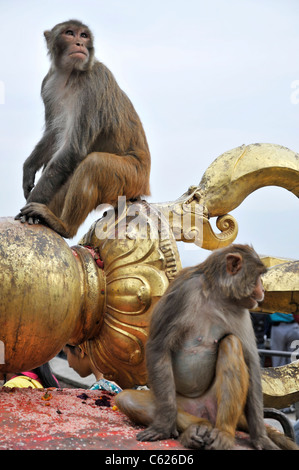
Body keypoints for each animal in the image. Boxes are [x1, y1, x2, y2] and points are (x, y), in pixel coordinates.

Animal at [14, 19, 151, 239]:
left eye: (84, 35)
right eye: (70, 33)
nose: (79, 44)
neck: (69, 75)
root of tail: (144, 186)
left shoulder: (93, 83)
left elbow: (74, 148)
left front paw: (31, 203)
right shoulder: (48, 82)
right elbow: (53, 135)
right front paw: (28, 169)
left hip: (132, 178)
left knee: (92, 164)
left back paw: (63, 226)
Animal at [115, 244, 299, 450]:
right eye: (258, 276)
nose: (263, 290)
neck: (216, 294)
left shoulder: (241, 310)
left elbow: (250, 361)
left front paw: (260, 438)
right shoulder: (181, 292)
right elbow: (158, 347)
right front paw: (163, 426)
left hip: (216, 406)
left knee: (231, 343)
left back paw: (223, 433)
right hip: (178, 401)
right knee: (127, 399)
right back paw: (196, 429)